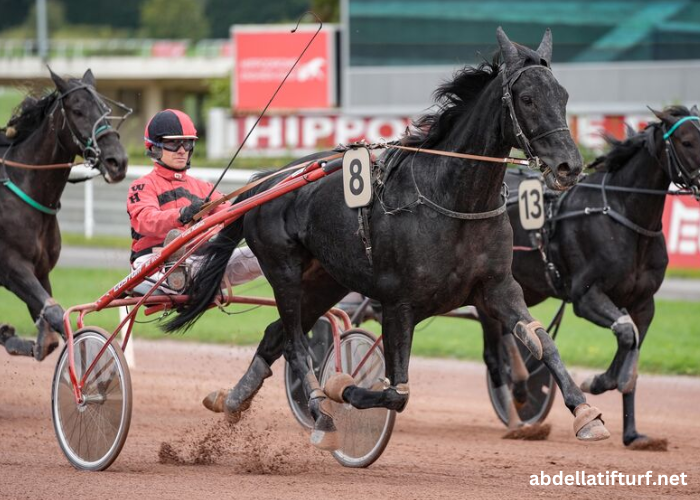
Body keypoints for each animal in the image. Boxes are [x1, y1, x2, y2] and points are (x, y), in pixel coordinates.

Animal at [0, 70, 129, 360]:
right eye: (78, 111)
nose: (118, 161)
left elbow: (56, 325)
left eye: (105, 110)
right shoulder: (11, 266)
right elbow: (57, 313)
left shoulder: (41, 272)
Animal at [167, 27, 608, 450]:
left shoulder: (498, 288)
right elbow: (397, 392)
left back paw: (232, 400)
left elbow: (541, 343)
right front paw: (340, 386)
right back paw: (320, 413)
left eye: (564, 96)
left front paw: (586, 413)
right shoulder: (399, 304)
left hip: (324, 280)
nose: (570, 165)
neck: (451, 199)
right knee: (294, 345)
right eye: (528, 98)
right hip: (283, 270)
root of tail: (264, 182)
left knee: (275, 335)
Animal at [482, 104, 700, 450]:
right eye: (687, 141)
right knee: (493, 355)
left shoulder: (644, 304)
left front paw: (633, 434)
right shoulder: (586, 297)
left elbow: (632, 355)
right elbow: (624, 333)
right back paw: (517, 415)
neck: (622, 216)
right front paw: (598, 381)